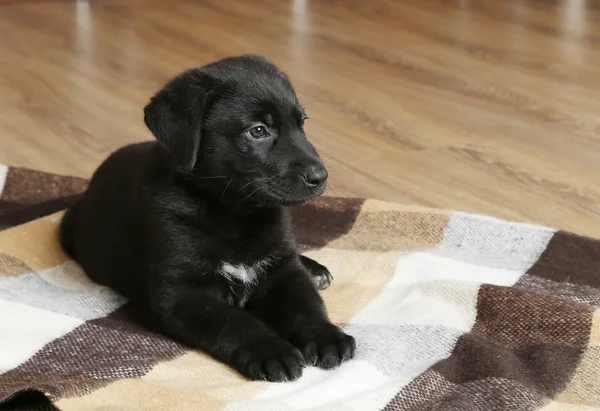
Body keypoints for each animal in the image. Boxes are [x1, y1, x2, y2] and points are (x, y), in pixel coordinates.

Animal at [58, 54, 354, 384]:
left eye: (301, 123)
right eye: (258, 131)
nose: (320, 177)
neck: (234, 213)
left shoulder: (283, 272)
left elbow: (305, 304)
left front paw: (326, 335)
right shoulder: (183, 295)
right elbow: (233, 322)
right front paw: (271, 350)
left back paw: (314, 268)